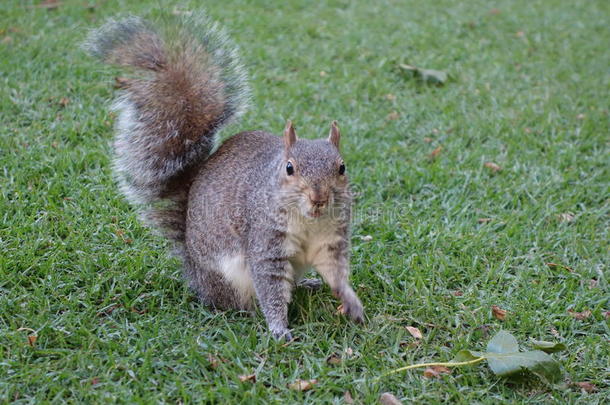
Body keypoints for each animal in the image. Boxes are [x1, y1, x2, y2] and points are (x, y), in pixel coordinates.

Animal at [85, 12, 360, 340]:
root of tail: (194, 272)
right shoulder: (265, 239)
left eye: (341, 168)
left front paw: (351, 301)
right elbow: (270, 286)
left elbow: (335, 271)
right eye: (289, 168)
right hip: (227, 276)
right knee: (235, 302)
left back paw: (307, 284)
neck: (309, 221)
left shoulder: (332, 239)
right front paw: (279, 329)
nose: (319, 198)